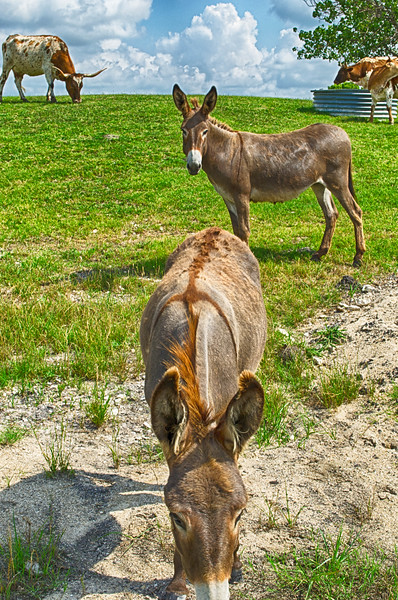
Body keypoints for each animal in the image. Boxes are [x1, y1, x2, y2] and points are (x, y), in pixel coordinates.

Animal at [140, 226, 268, 600]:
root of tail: (215, 230)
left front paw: (236, 565)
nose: (213, 591)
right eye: (175, 517)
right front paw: (177, 583)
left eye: (240, 513)